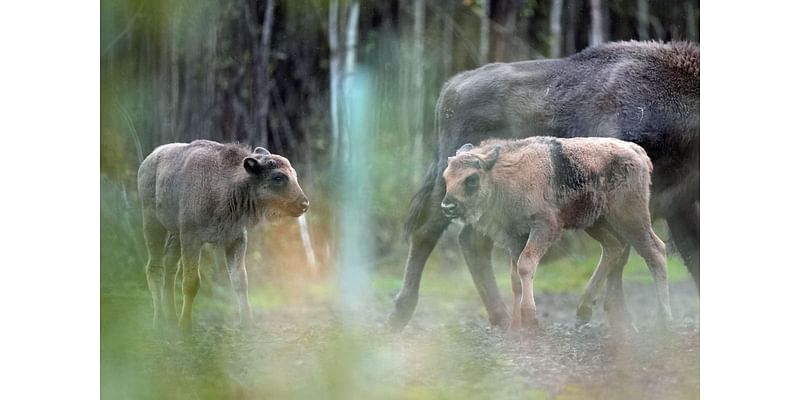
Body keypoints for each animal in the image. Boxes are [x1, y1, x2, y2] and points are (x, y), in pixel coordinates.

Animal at [440, 138, 672, 332]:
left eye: (471, 179)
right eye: (446, 177)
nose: (447, 206)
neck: (501, 175)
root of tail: (637, 152)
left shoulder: (545, 227)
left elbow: (526, 265)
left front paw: (531, 320)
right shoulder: (516, 238)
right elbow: (515, 279)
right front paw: (514, 328)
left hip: (631, 219)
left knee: (655, 251)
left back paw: (662, 322)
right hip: (597, 222)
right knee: (614, 248)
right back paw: (583, 311)